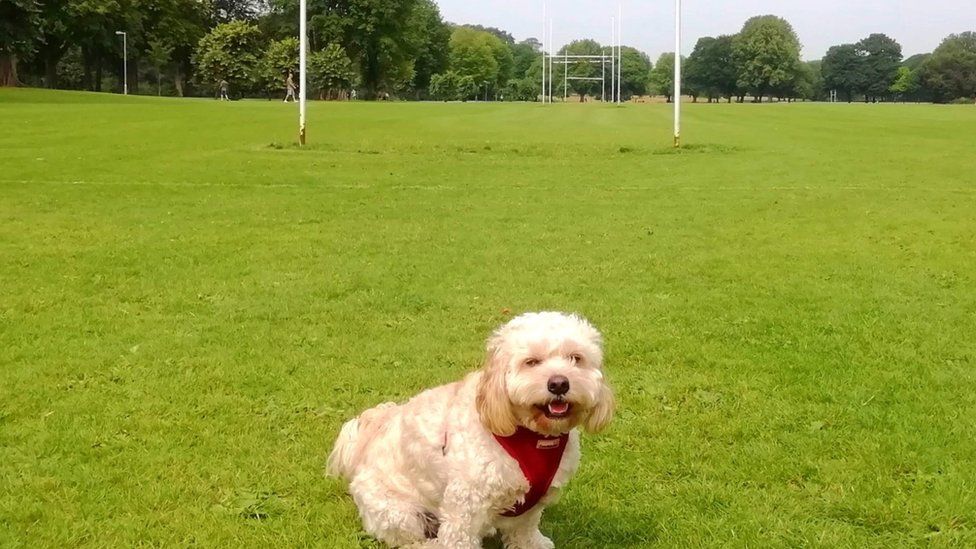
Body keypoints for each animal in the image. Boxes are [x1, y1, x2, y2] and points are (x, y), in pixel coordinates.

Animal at [332, 310, 612, 544]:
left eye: (576, 358)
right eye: (531, 362)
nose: (559, 384)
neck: (532, 436)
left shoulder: (531, 506)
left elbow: (524, 532)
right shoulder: (464, 505)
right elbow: (459, 537)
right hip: (400, 513)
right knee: (412, 540)